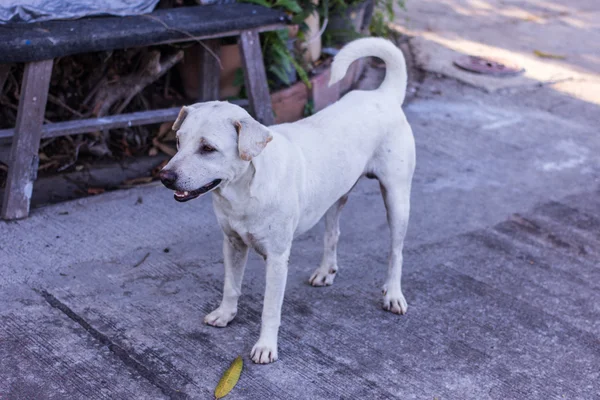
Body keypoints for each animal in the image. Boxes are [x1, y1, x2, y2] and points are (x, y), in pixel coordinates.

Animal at [158, 37, 412, 362]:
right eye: (179, 141)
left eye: (208, 148)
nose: (165, 177)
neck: (243, 191)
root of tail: (383, 95)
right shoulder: (232, 244)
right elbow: (231, 286)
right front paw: (225, 314)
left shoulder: (278, 259)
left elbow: (270, 308)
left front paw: (266, 346)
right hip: (335, 197)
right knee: (333, 233)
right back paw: (325, 271)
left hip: (397, 199)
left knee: (396, 251)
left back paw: (393, 294)